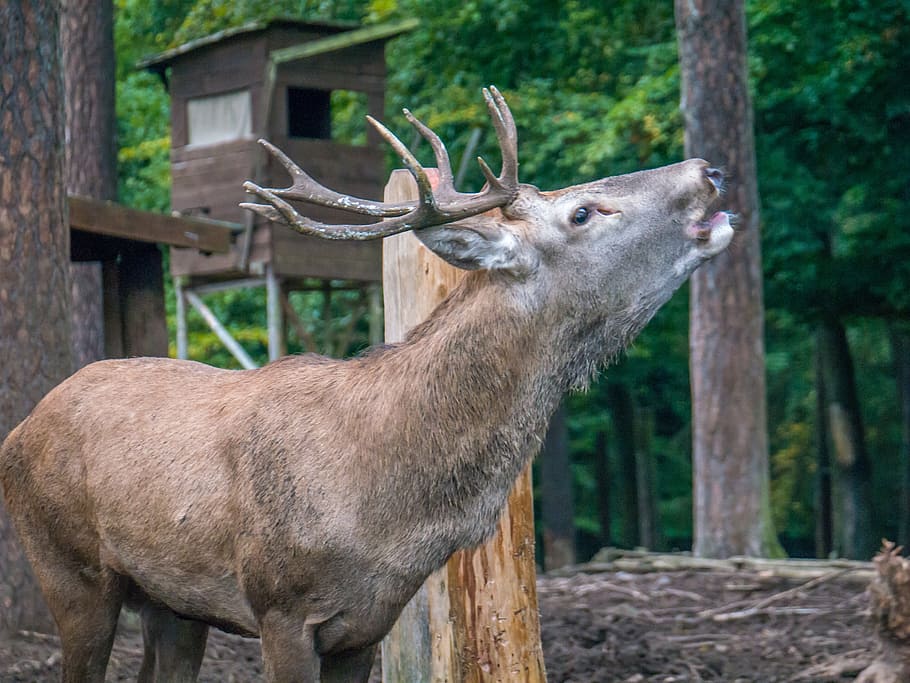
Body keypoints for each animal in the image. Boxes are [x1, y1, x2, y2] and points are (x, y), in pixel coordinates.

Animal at [0, 87, 733, 682]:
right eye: (583, 212)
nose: (710, 171)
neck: (390, 507)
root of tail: (18, 430)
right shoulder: (280, 606)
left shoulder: (367, 626)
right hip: (69, 571)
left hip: (171, 602)